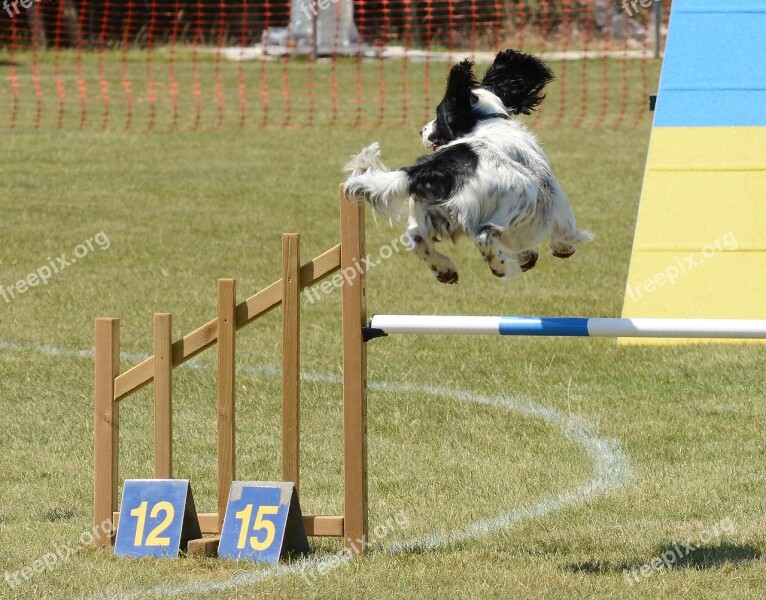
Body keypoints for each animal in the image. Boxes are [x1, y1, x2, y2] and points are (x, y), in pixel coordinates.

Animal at [346, 49, 592, 284]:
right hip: (515, 200)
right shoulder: (554, 199)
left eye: (438, 116)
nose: (421, 130)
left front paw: (526, 255)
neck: (487, 120)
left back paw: (446, 270)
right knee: (484, 236)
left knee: (415, 238)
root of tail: (439, 168)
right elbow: (565, 230)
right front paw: (564, 247)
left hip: (427, 210)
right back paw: (500, 267)